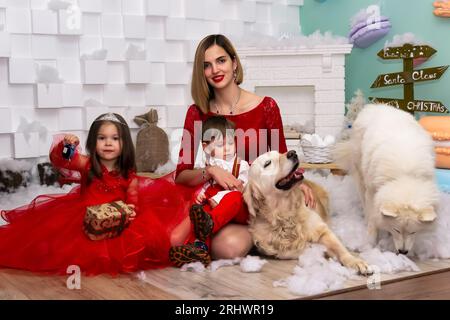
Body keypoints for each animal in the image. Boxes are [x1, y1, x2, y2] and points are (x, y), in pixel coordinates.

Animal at [334, 104, 440, 254]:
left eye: (413, 232)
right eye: (397, 230)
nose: (403, 252)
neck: (404, 177)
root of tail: (374, 106)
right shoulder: (372, 193)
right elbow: (373, 218)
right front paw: (371, 241)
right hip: (360, 172)